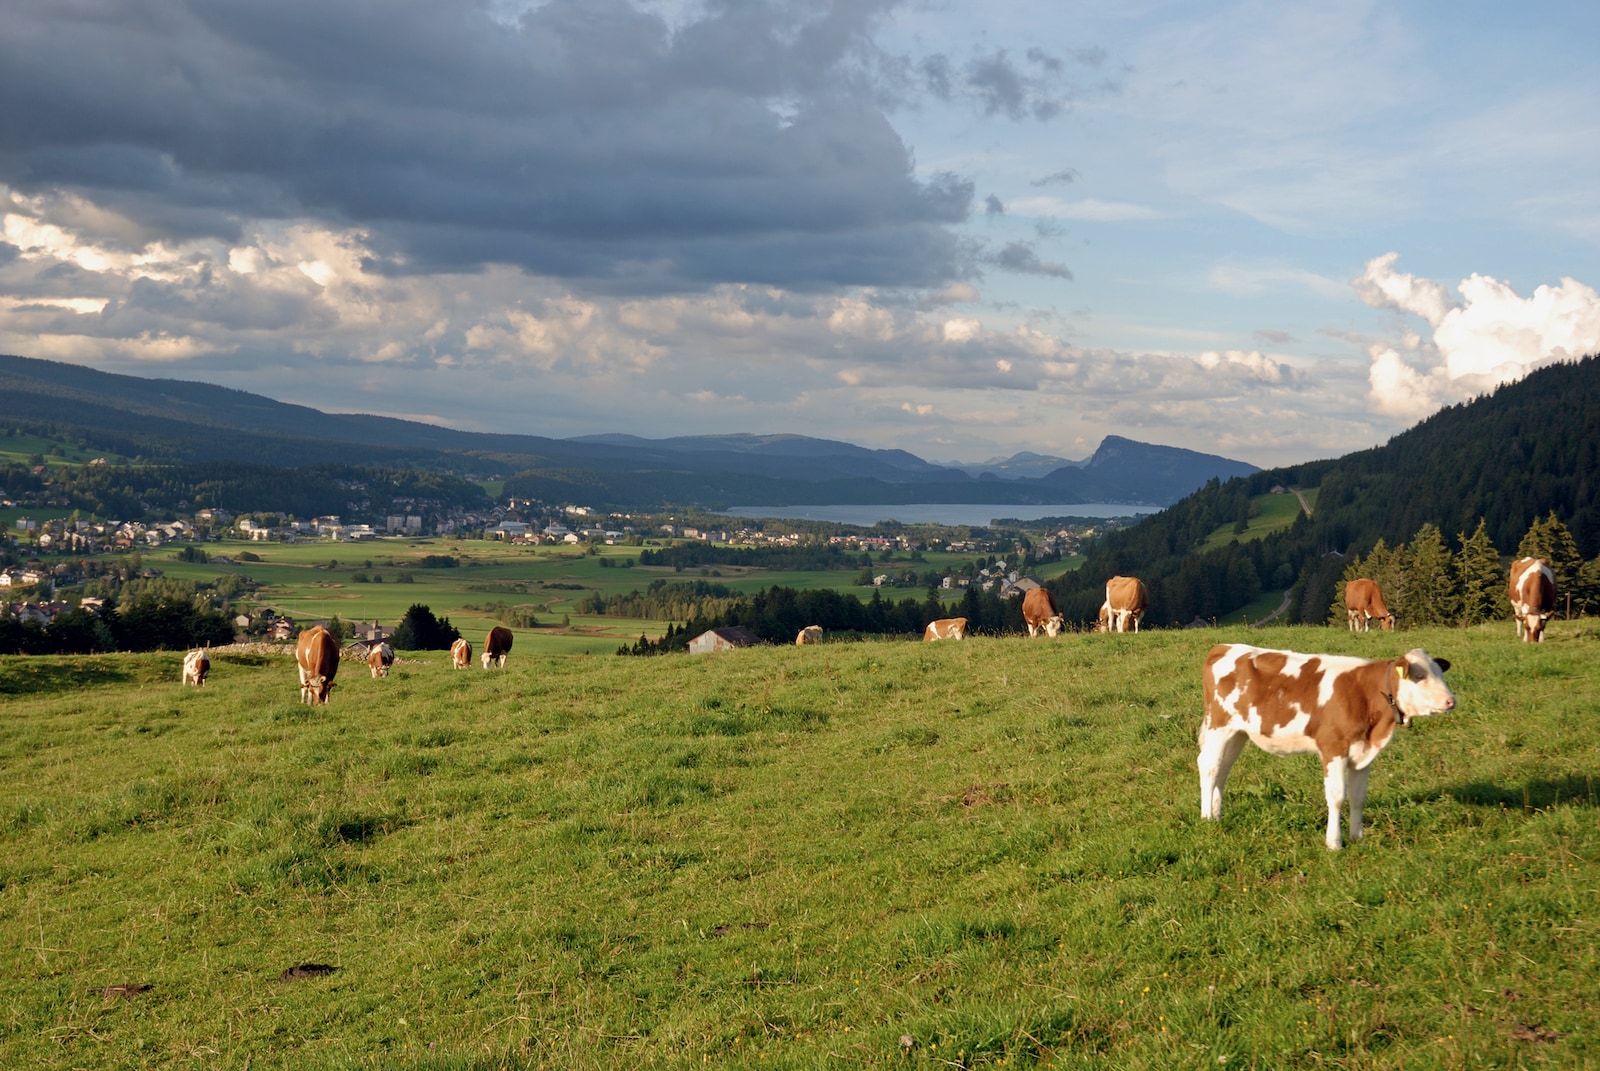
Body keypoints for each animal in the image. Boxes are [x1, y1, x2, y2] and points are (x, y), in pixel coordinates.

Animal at [1196, 643, 1459, 851]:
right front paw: (1334, 842)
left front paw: (1357, 837)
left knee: (1223, 769)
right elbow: (1337, 797)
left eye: (1440, 673)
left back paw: (1217, 814)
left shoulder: (1363, 754)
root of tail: (1224, 646)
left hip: (1237, 733)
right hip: (1218, 725)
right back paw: (1206, 817)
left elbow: (1358, 797)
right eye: (1420, 676)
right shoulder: (1334, 747)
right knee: (1209, 766)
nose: (1451, 700)